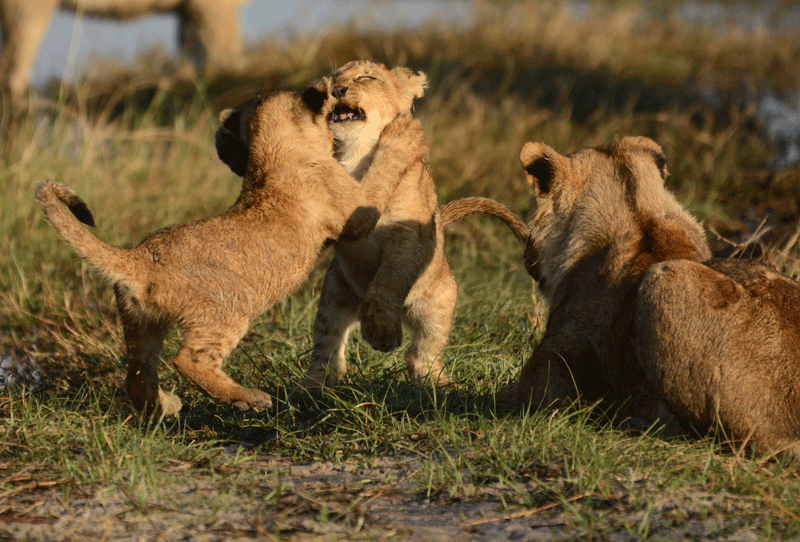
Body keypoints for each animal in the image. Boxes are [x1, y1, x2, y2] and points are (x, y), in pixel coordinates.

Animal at [35, 85, 427, 416]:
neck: (272, 153)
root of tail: (138, 259)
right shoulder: (357, 212)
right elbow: (379, 177)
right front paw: (403, 136)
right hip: (230, 307)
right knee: (189, 360)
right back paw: (250, 399)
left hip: (141, 324)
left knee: (137, 374)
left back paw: (167, 405)